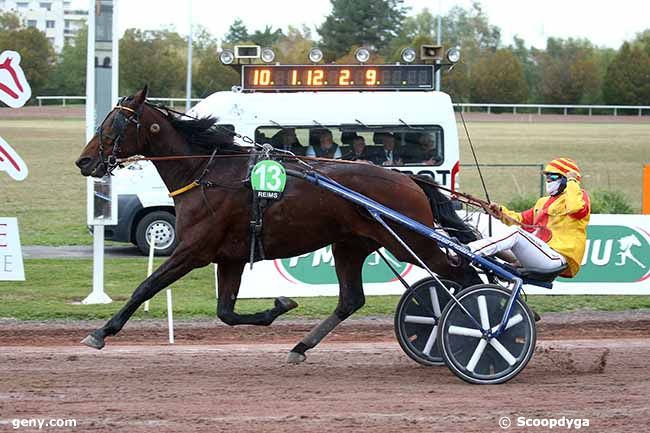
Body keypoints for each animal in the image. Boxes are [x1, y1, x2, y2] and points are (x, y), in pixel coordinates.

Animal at [76, 87, 480, 362]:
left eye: (115, 123)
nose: (83, 161)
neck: (207, 173)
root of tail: (410, 180)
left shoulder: (192, 251)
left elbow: (145, 287)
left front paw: (100, 332)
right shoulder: (230, 257)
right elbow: (226, 312)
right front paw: (280, 305)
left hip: (410, 240)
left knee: (465, 274)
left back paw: (476, 328)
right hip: (351, 244)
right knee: (352, 299)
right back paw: (301, 346)